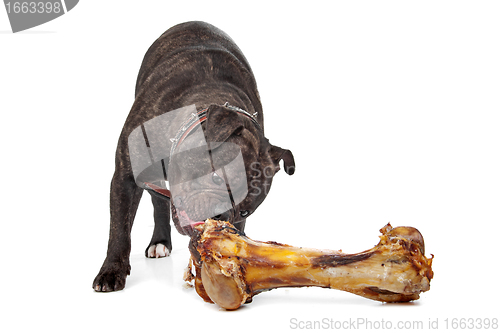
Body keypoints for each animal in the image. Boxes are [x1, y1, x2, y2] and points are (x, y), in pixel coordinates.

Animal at [92, 21, 294, 290]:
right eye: (217, 177)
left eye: (244, 212)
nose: (219, 216)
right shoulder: (125, 177)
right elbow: (119, 230)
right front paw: (111, 271)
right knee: (157, 201)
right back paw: (159, 241)